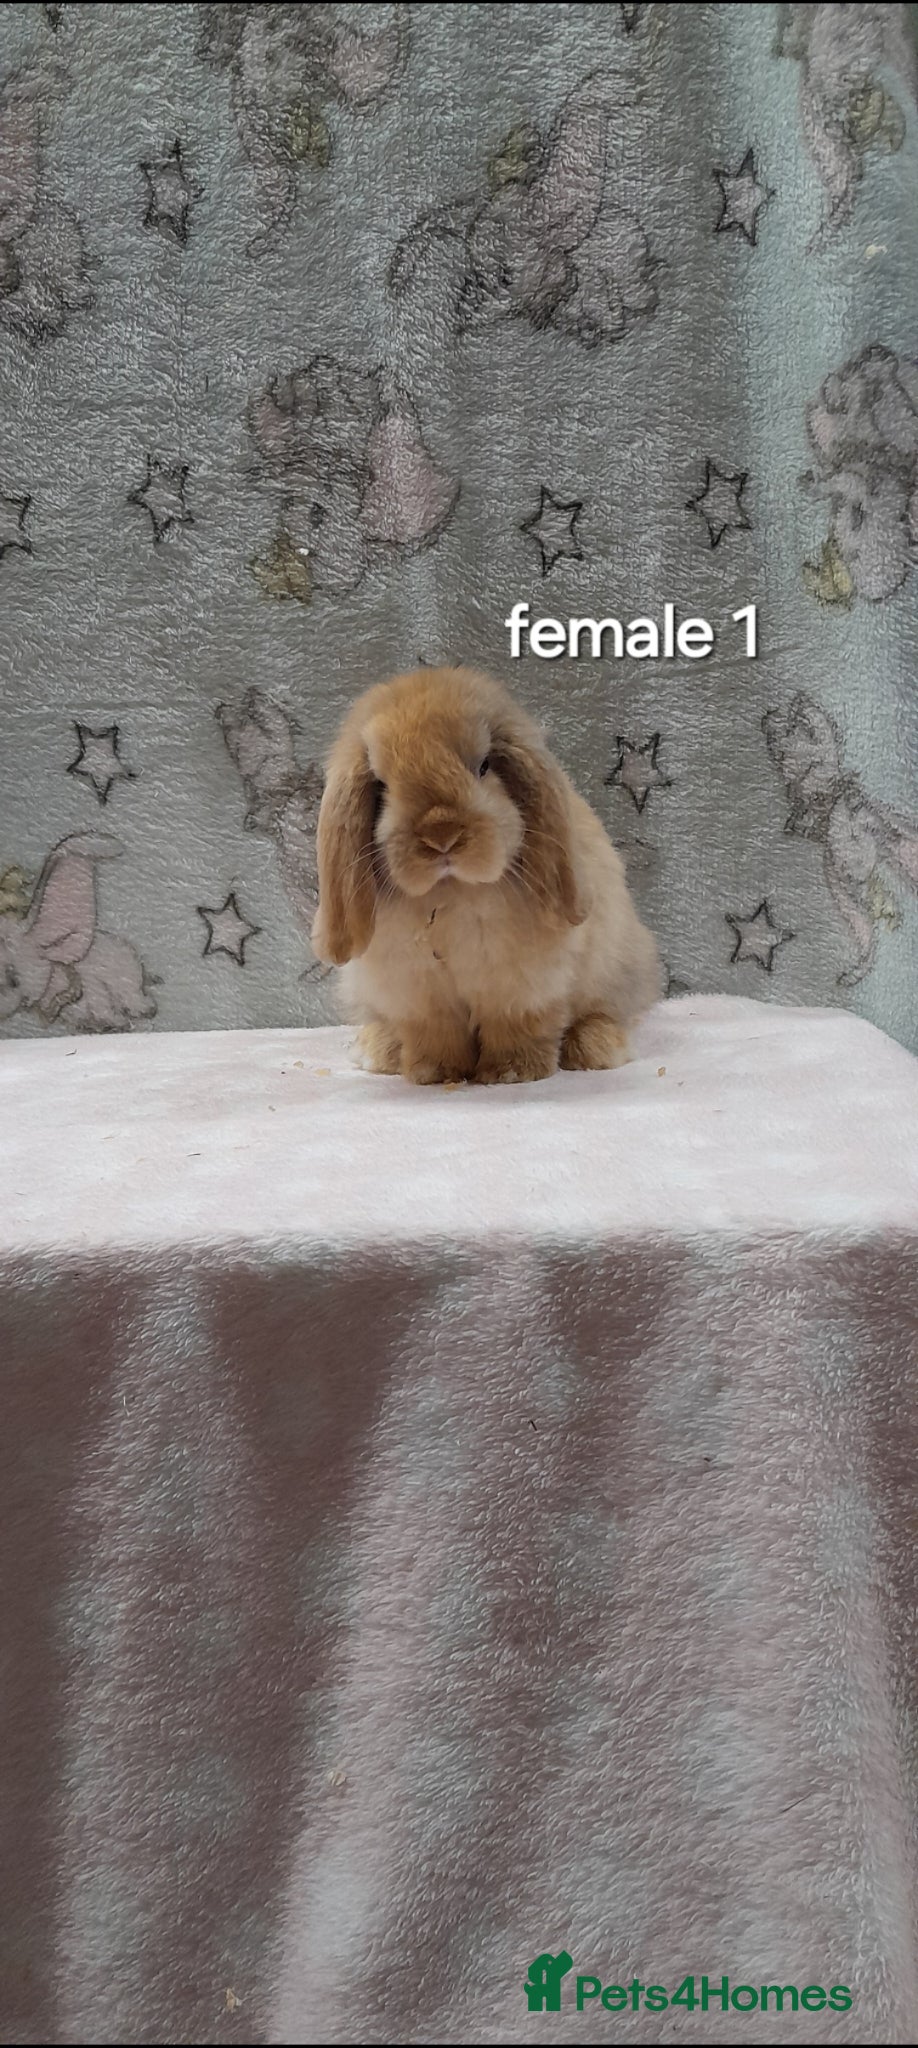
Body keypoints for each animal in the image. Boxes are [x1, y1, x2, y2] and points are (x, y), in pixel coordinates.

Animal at [311, 666, 660, 1084]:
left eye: (483, 766)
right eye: (382, 786)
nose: (441, 834)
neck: (451, 892)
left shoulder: (522, 988)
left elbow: (518, 1026)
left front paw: (511, 1072)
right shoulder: (419, 995)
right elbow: (435, 1033)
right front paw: (435, 1073)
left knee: (602, 1013)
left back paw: (597, 1047)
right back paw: (381, 1050)